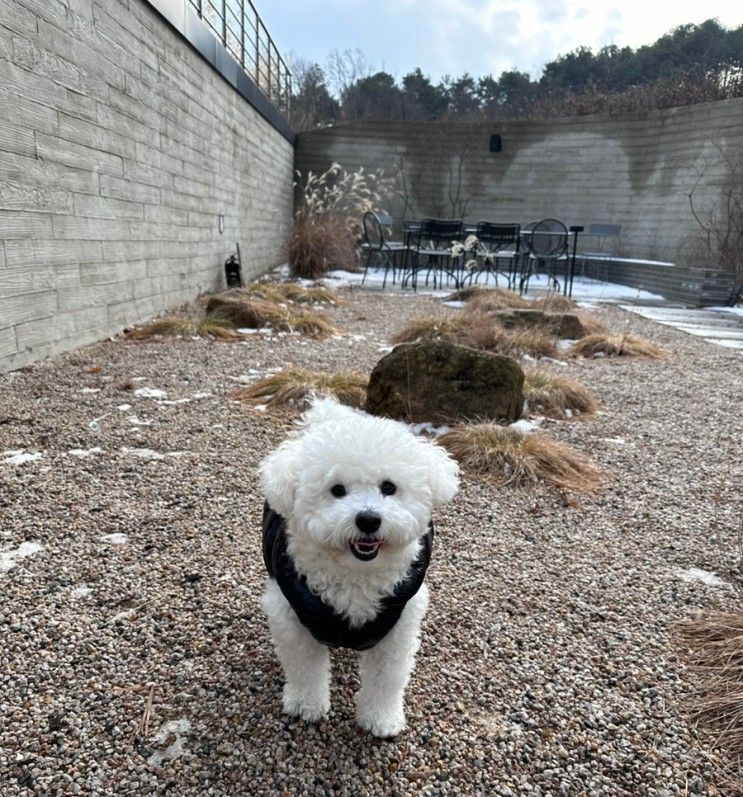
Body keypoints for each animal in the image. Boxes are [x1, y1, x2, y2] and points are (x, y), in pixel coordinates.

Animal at [260, 394, 460, 736]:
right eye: (337, 489)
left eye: (389, 487)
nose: (368, 519)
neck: (355, 576)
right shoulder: (291, 618)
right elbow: (304, 668)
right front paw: (305, 705)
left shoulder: (397, 629)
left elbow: (386, 680)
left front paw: (381, 718)